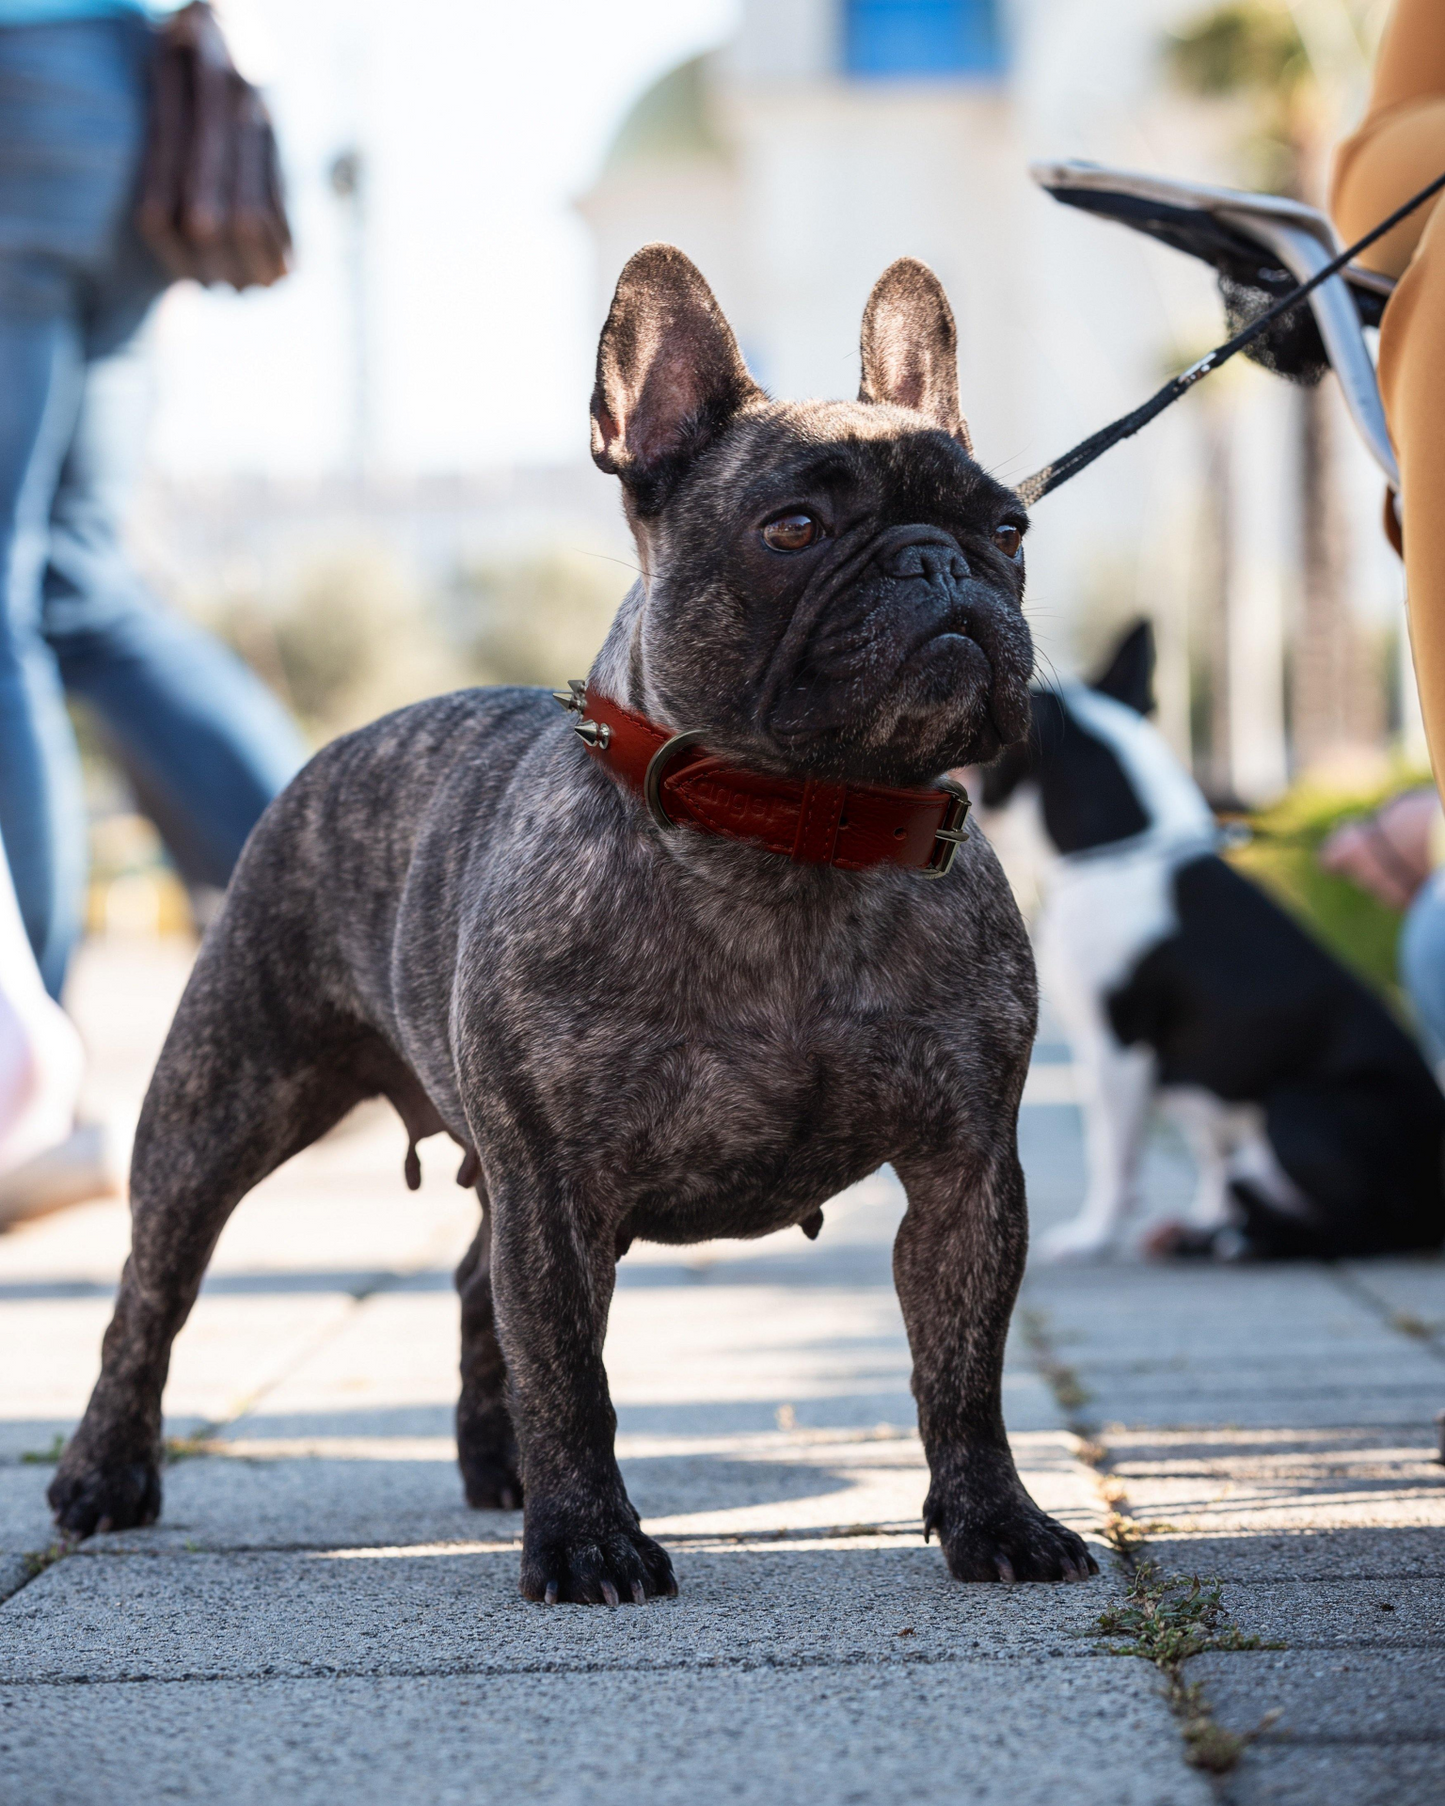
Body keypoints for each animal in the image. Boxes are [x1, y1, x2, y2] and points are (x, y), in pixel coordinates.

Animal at [53, 247, 1098, 1603]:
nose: (939, 564)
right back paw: (103, 1475)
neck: (800, 832)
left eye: (1007, 529)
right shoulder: (554, 1187)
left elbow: (963, 1372)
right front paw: (592, 1539)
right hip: (221, 1103)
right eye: (795, 529)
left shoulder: (964, 1174)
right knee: (153, 1294)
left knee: (465, 1284)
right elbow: (568, 1369)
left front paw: (995, 1521)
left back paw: (496, 1468)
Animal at [982, 628, 1445, 1264]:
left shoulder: (1115, 1045)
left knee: (1371, 1229)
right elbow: (1210, 1156)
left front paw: (1091, 1235)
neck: (1122, 849)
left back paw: (1257, 1243)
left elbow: (1111, 1152)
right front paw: (1205, 1214)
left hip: (1298, 1109)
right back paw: (1212, 1234)